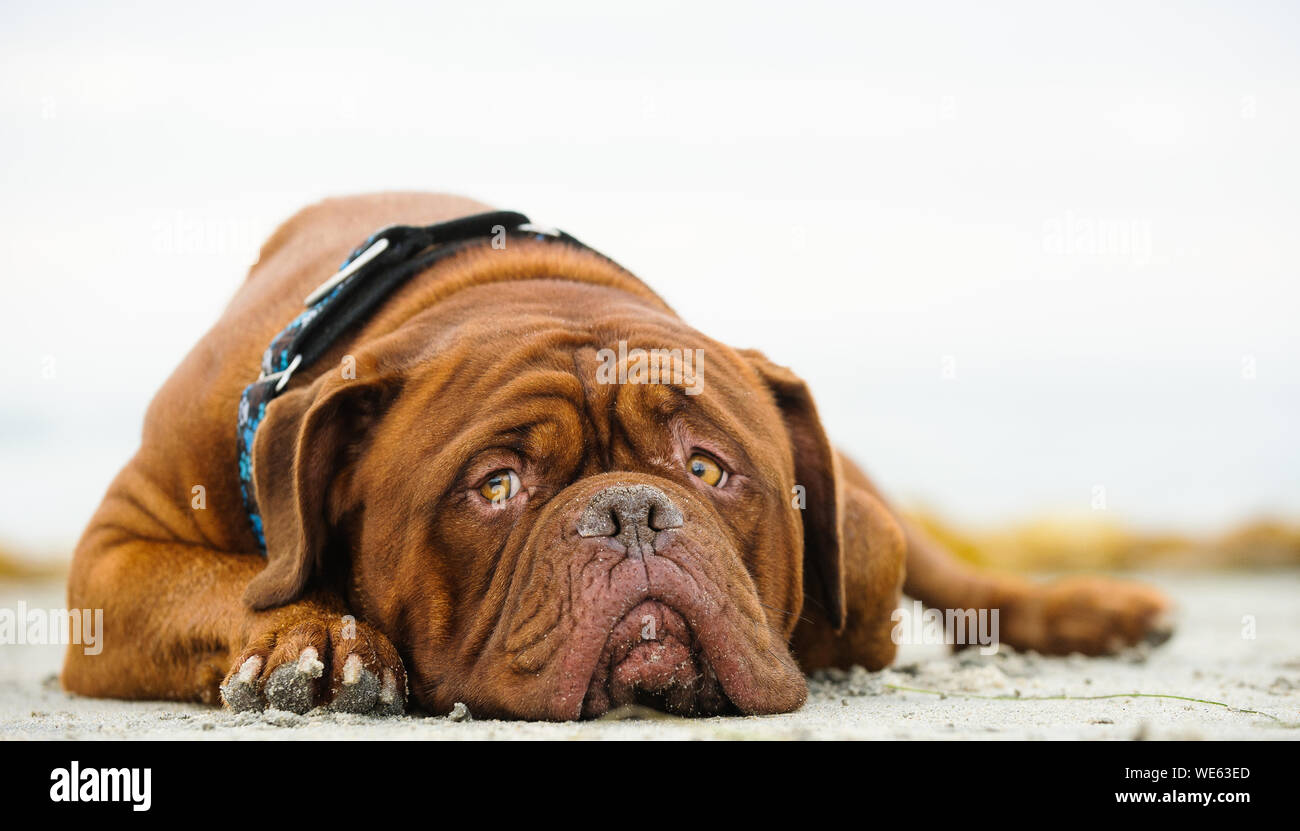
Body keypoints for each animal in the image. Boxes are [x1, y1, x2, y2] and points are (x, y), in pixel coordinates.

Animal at [63, 192, 1180, 717]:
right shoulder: (114, 557)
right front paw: (317, 640)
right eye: (497, 485)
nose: (631, 511)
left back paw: (1100, 612)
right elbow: (219, 588)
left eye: (706, 469)